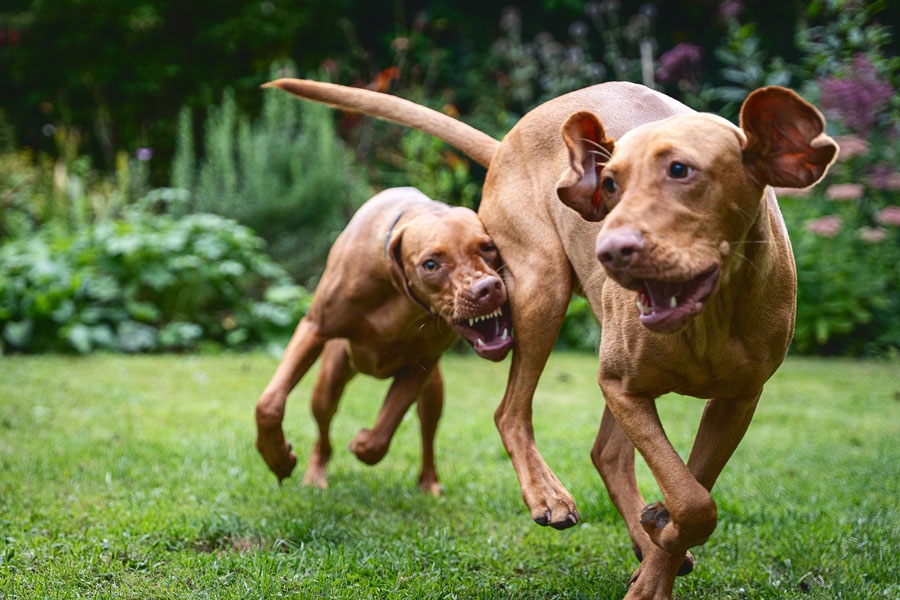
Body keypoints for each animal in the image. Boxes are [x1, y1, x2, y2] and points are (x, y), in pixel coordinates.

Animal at [255, 186, 512, 492]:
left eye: (488, 247)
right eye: (430, 264)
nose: (486, 289)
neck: (396, 290)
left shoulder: (421, 365)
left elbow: (382, 432)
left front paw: (362, 443)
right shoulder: (314, 329)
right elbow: (269, 404)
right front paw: (278, 459)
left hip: (433, 394)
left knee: (427, 436)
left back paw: (429, 483)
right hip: (329, 382)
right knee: (324, 431)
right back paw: (315, 475)